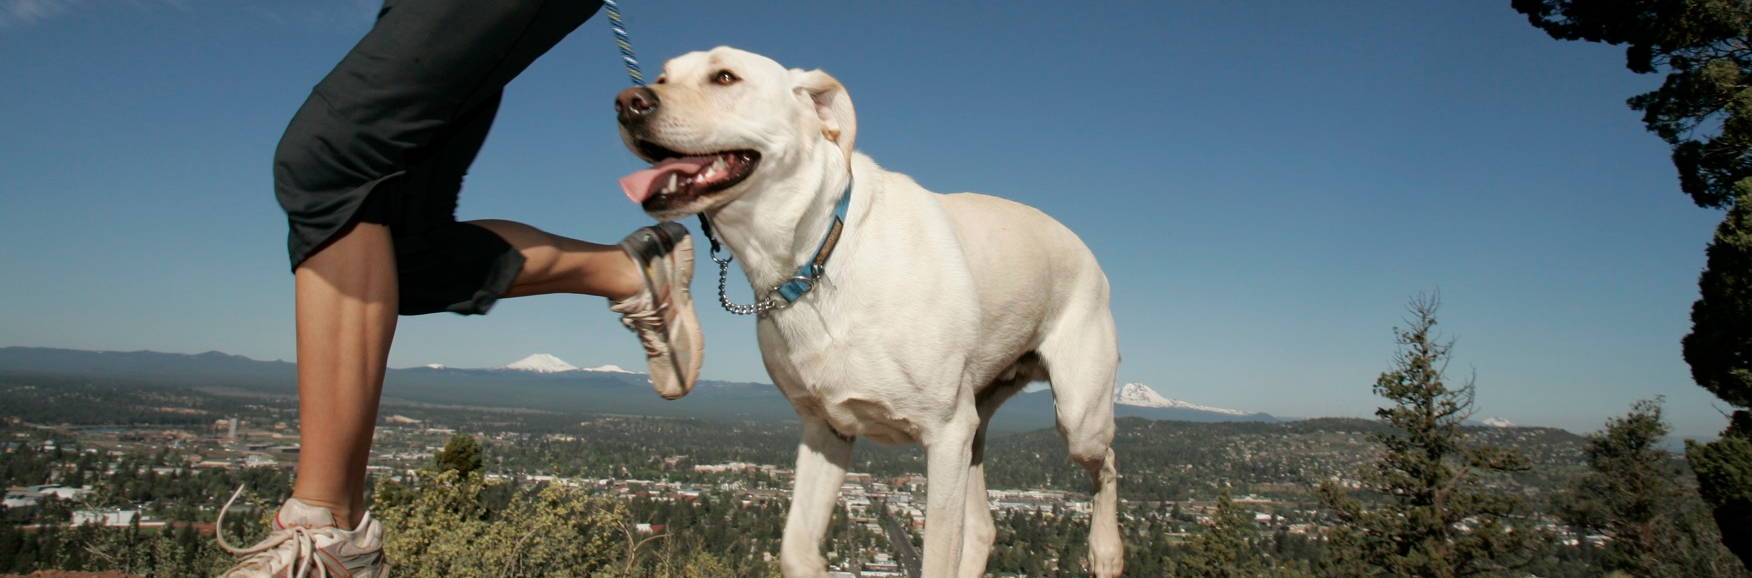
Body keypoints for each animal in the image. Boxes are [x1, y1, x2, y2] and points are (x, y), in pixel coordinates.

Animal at [616, 46, 1121, 578]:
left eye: (725, 77)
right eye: (662, 77)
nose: (628, 102)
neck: (816, 254)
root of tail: (1085, 249)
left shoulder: (945, 434)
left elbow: (937, 555)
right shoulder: (827, 429)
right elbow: (796, 548)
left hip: (1077, 416)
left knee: (1107, 463)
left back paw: (1106, 551)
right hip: (977, 428)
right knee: (984, 526)